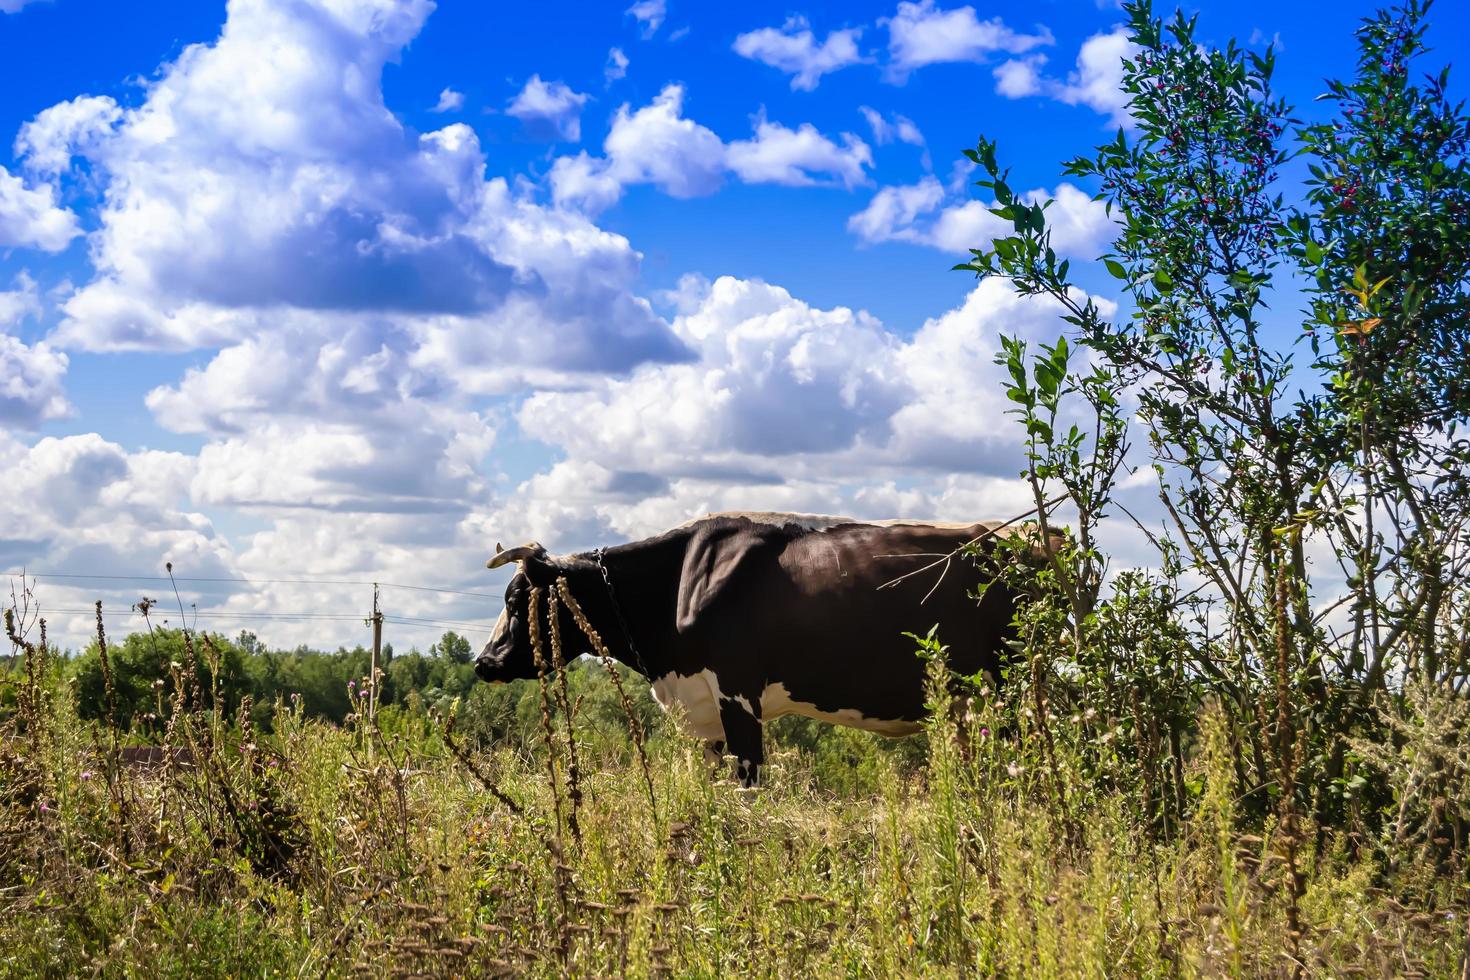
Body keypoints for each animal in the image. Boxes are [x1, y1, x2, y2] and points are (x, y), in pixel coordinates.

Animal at [476, 514, 1040, 787]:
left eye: (514, 598)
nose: (483, 663)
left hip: (1015, 692)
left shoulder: (737, 692)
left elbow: (748, 786)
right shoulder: (702, 709)